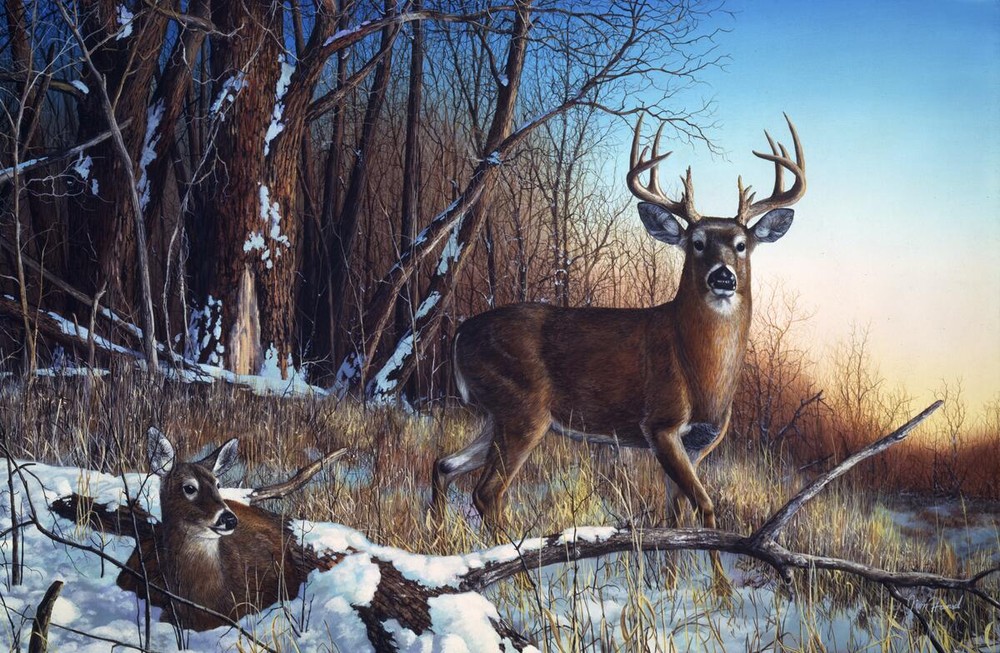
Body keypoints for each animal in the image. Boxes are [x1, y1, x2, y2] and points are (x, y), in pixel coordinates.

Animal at [432, 115, 806, 579]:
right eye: (697, 242)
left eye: (742, 244)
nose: (723, 277)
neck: (701, 372)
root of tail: (459, 333)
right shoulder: (659, 423)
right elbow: (705, 506)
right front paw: (719, 583)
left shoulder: (699, 442)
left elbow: (676, 517)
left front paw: (673, 581)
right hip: (523, 408)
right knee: (487, 492)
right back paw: (513, 573)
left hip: (496, 413)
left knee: (444, 465)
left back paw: (438, 547)